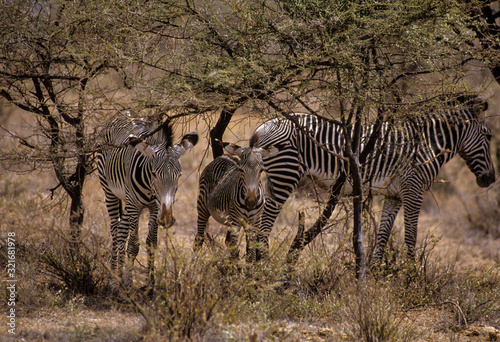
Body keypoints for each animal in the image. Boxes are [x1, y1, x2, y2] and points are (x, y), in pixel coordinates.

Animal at [96, 116, 198, 288]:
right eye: (154, 173)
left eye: (179, 175)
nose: (167, 218)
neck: (151, 190)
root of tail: (123, 113)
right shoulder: (135, 206)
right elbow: (133, 245)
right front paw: (129, 284)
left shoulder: (155, 207)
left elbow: (151, 244)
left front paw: (150, 285)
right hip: (110, 191)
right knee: (115, 230)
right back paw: (114, 279)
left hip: (127, 199)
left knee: (122, 230)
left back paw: (120, 276)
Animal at [193, 134, 280, 262]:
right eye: (241, 170)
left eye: (261, 170)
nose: (251, 201)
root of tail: (224, 155)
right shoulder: (235, 222)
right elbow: (235, 253)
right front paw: (236, 268)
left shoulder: (254, 223)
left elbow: (250, 254)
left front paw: (249, 267)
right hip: (202, 207)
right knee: (199, 239)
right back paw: (194, 263)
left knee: (227, 242)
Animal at [252, 96, 494, 264]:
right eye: (489, 136)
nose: (491, 178)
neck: (427, 145)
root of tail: (261, 128)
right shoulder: (413, 189)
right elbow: (411, 236)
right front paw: (412, 279)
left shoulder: (394, 195)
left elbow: (383, 235)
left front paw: (376, 273)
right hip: (285, 175)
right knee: (265, 224)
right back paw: (263, 264)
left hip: (271, 178)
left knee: (256, 220)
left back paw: (254, 263)